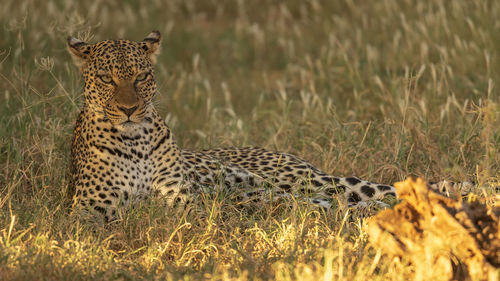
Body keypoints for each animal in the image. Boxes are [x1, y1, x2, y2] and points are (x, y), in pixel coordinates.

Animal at [67, 30, 468, 219]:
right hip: (306, 193)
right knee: (347, 205)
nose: (129, 109)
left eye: (141, 77)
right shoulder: (87, 210)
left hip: (310, 180)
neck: (134, 141)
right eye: (106, 78)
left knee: (382, 190)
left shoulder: (180, 198)